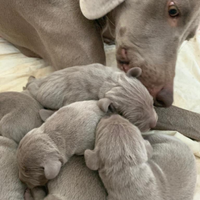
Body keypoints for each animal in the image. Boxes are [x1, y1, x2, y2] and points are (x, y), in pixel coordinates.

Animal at [25, 64, 157, 132]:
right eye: (134, 120)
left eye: (151, 103)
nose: (154, 124)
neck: (108, 83)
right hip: (39, 92)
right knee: (32, 87)